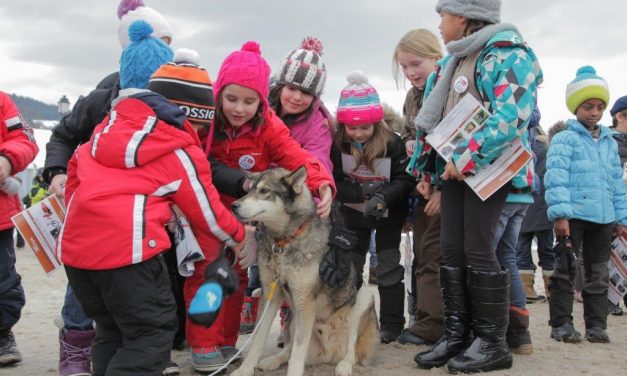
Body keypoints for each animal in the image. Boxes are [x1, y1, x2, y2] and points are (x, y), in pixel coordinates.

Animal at [231, 167, 378, 376]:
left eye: (264, 191)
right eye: (249, 189)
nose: (234, 206)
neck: (284, 241)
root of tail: (329, 355)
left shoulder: (305, 301)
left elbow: (297, 354)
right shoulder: (271, 295)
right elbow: (258, 341)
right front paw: (245, 369)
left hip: (363, 299)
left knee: (351, 352)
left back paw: (344, 365)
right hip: (293, 319)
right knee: (288, 350)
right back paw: (272, 361)